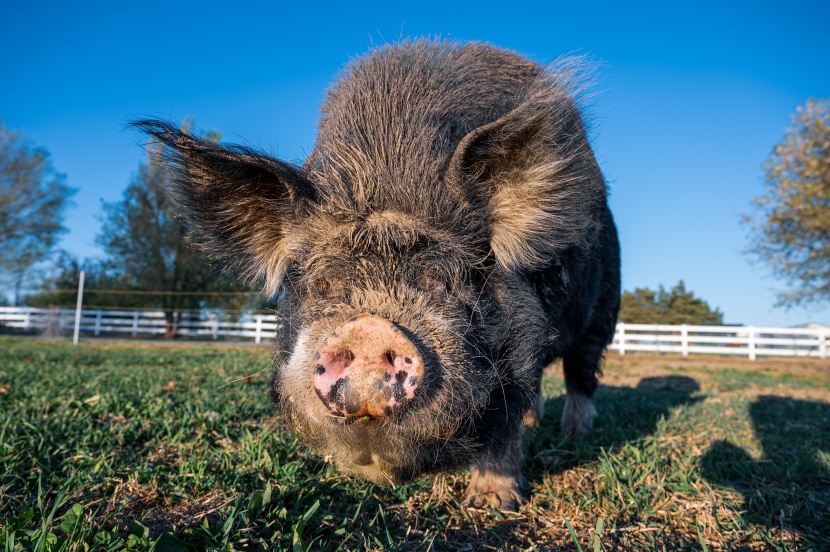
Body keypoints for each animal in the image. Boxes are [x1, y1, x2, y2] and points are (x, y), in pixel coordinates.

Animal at [135, 40, 616, 512]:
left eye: (445, 281)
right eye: (322, 284)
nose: (368, 329)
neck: (385, 182)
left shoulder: (522, 340)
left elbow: (506, 423)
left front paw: (494, 504)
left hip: (604, 306)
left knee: (582, 370)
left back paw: (575, 432)